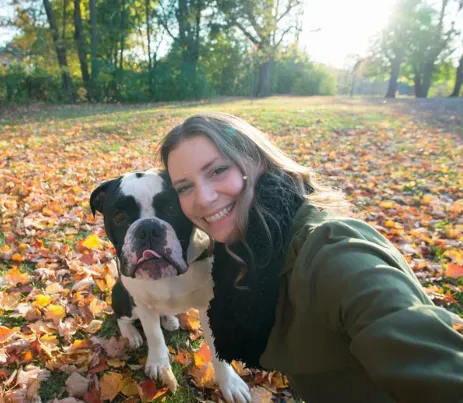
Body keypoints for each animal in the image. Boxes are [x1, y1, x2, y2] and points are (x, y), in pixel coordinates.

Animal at [90, 170, 250, 403]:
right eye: (119, 216)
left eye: (173, 209)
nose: (148, 228)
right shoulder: (142, 304)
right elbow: (154, 336)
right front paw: (159, 364)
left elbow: (217, 351)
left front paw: (230, 382)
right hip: (124, 298)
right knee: (121, 318)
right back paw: (132, 334)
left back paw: (169, 319)